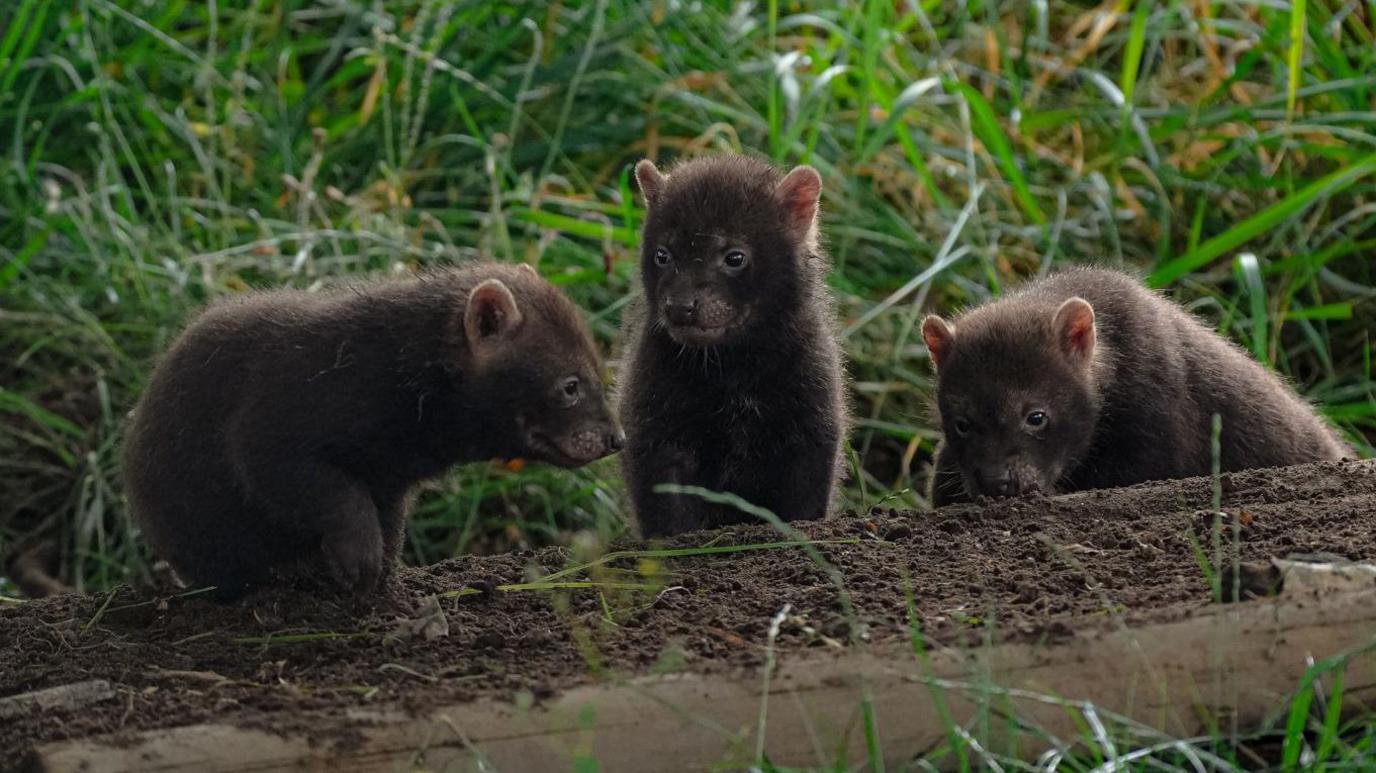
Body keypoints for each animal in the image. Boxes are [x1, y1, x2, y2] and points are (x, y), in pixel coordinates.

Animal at [126, 261, 621, 591]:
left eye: (600, 365)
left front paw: (383, 575)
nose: (618, 438)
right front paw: (358, 561)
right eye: (571, 384)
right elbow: (340, 498)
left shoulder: (391, 481)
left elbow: (389, 526)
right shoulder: (270, 439)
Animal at [616, 156, 842, 536]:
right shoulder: (654, 430)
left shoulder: (813, 424)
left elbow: (803, 502)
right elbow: (668, 512)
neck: (732, 370)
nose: (680, 306)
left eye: (735, 257)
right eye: (662, 255)